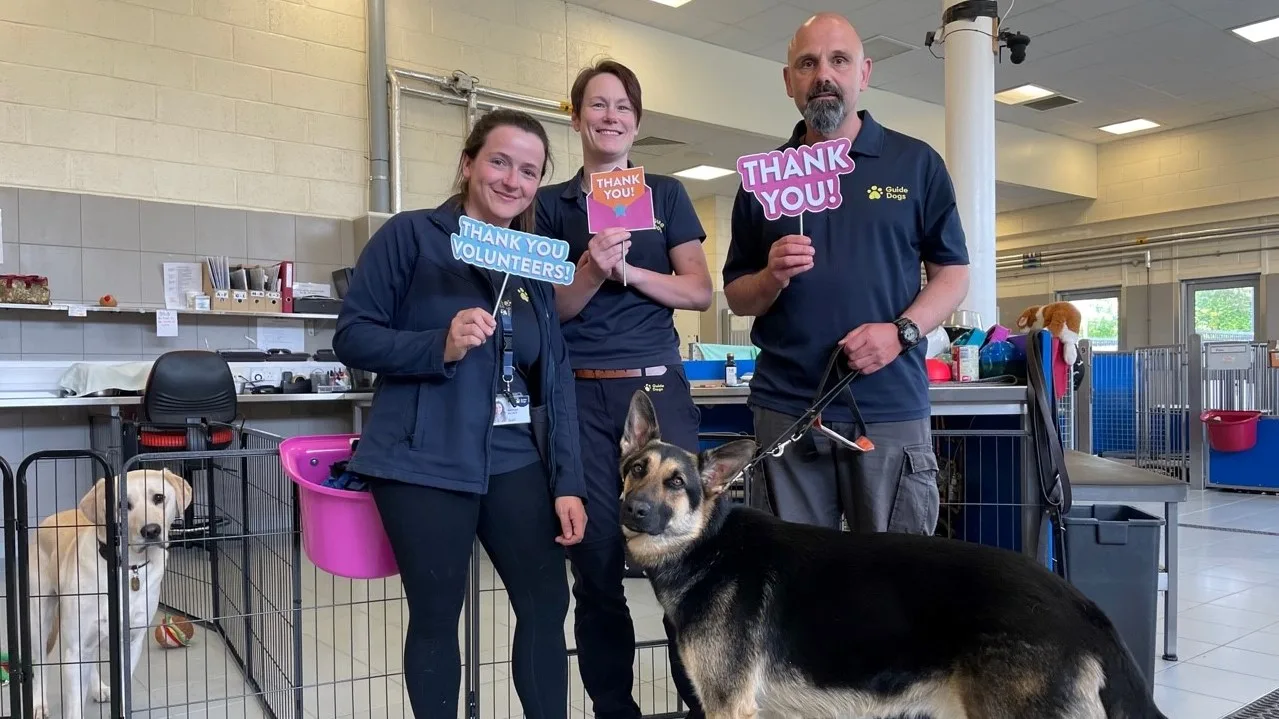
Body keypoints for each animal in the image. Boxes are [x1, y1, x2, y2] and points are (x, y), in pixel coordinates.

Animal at [619, 391, 1171, 716]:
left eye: (676, 483)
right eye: (636, 469)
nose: (632, 510)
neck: (707, 545)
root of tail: (1084, 609)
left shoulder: (729, 707)